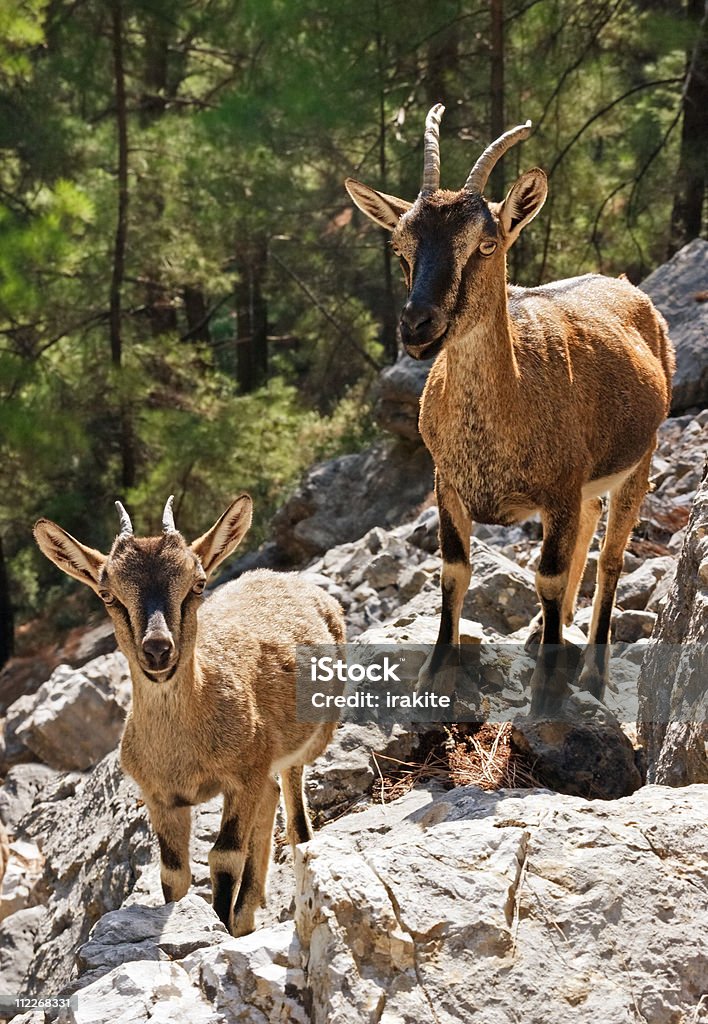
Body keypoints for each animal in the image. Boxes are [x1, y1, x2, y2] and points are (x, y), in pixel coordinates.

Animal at [34, 495, 344, 937]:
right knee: (268, 800)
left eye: (197, 583)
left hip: (304, 743)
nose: (158, 649)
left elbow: (224, 856)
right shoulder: (161, 798)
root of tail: (290, 580)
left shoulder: (242, 778)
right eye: (107, 593)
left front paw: (221, 926)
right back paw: (247, 914)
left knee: (291, 803)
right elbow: (173, 873)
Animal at [346, 105, 672, 712]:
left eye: (486, 244)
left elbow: (547, 576)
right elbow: (454, 571)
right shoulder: (447, 481)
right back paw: (544, 632)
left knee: (611, 555)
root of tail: (627, 286)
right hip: (585, 486)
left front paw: (547, 692)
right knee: (588, 530)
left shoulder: (559, 487)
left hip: (638, 459)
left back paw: (591, 669)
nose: (418, 324)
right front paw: (435, 675)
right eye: (401, 250)